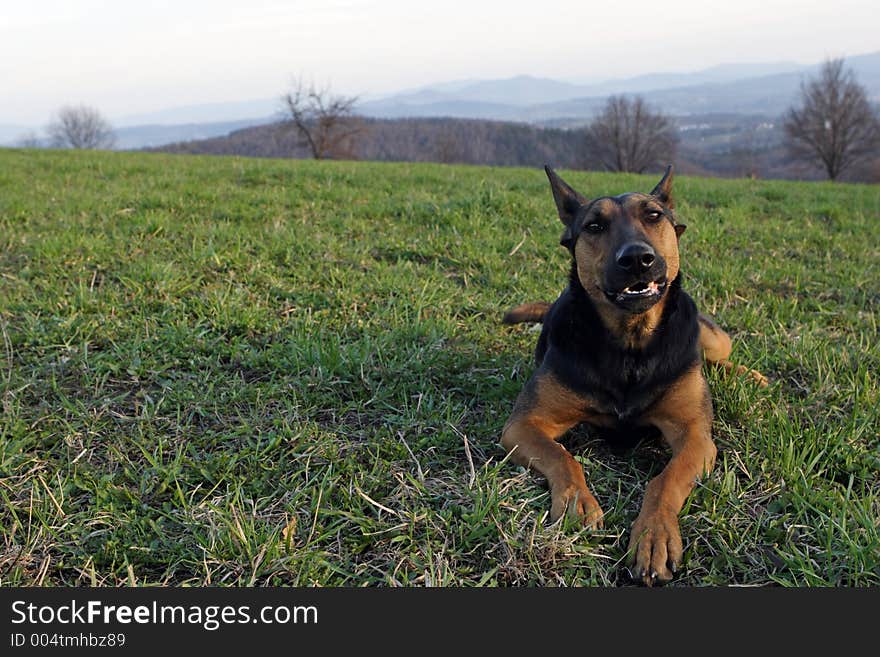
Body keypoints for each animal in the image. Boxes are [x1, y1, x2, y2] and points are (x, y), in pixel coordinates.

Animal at [498, 164, 768, 584]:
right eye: (594, 225)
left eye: (653, 216)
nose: (638, 259)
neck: (631, 343)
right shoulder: (523, 426)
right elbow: (562, 456)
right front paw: (577, 503)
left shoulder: (695, 437)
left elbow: (664, 480)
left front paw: (654, 536)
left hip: (712, 338)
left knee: (717, 356)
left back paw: (749, 375)